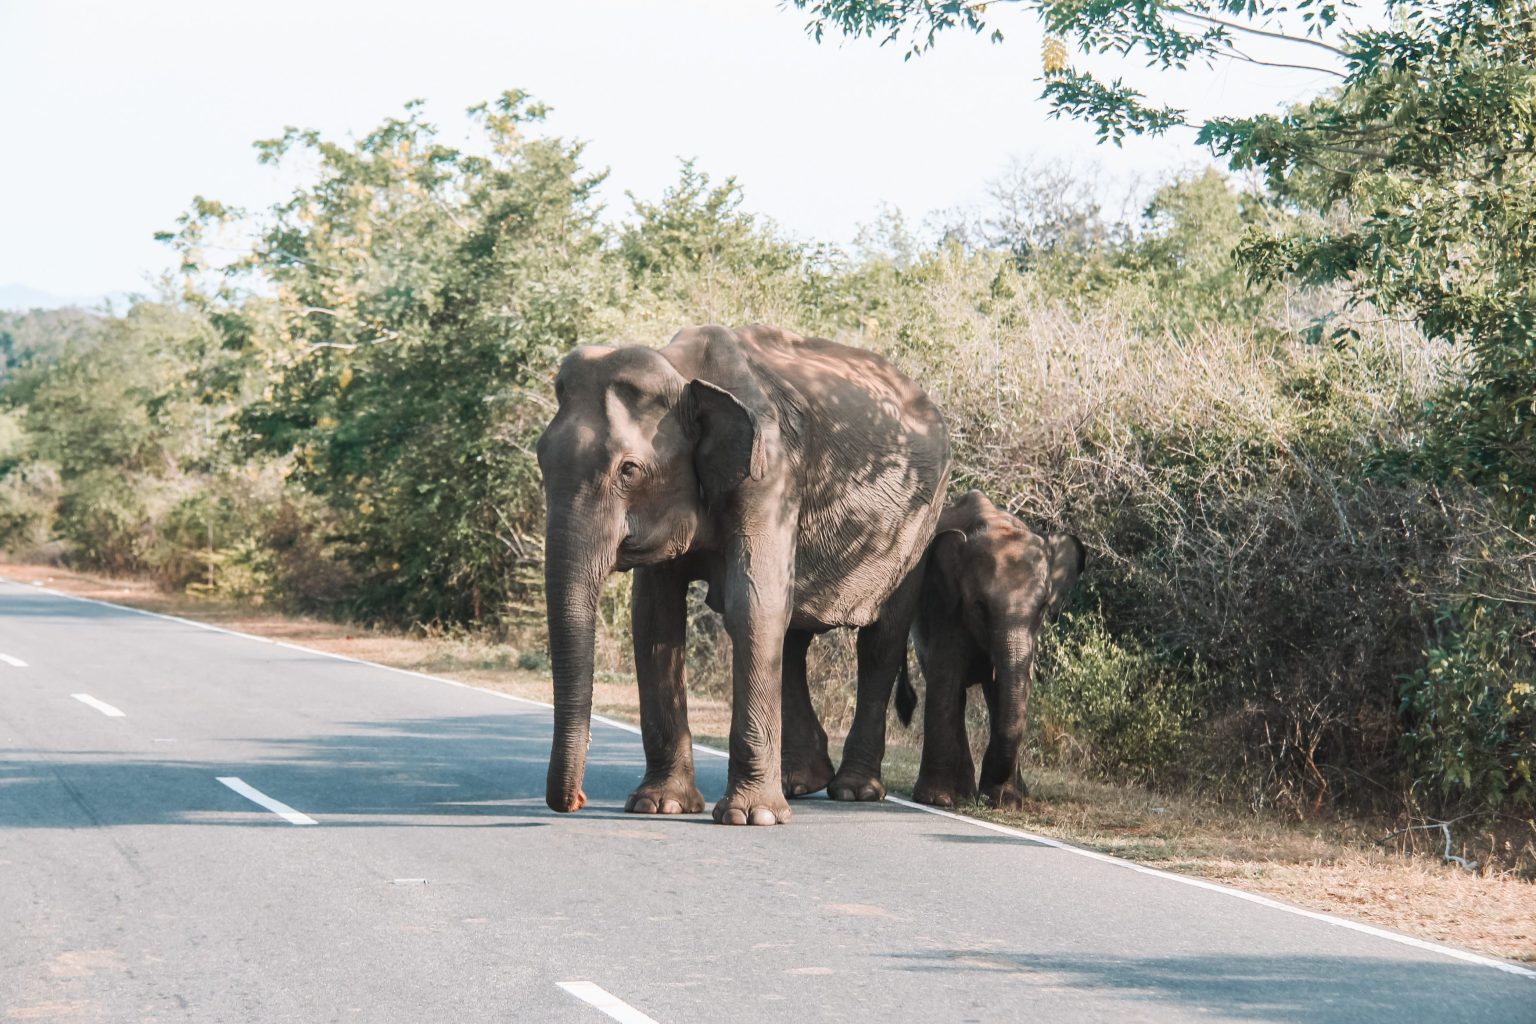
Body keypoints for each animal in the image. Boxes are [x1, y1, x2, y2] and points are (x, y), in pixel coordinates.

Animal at [540, 327, 946, 822]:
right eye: (541, 460)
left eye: (629, 470)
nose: (575, 801)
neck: (683, 371)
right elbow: (655, 618)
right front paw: (659, 806)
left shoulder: (771, 473)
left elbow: (751, 603)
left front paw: (751, 817)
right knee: (791, 637)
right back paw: (798, 783)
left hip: (919, 526)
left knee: (880, 641)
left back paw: (853, 792)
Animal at [897, 491, 1081, 810]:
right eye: (980, 607)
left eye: (1042, 608)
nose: (990, 795)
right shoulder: (946, 604)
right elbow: (946, 680)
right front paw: (936, 800)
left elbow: (1009, 688)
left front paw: (1006, 802)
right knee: (953, 692)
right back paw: (961, 794)